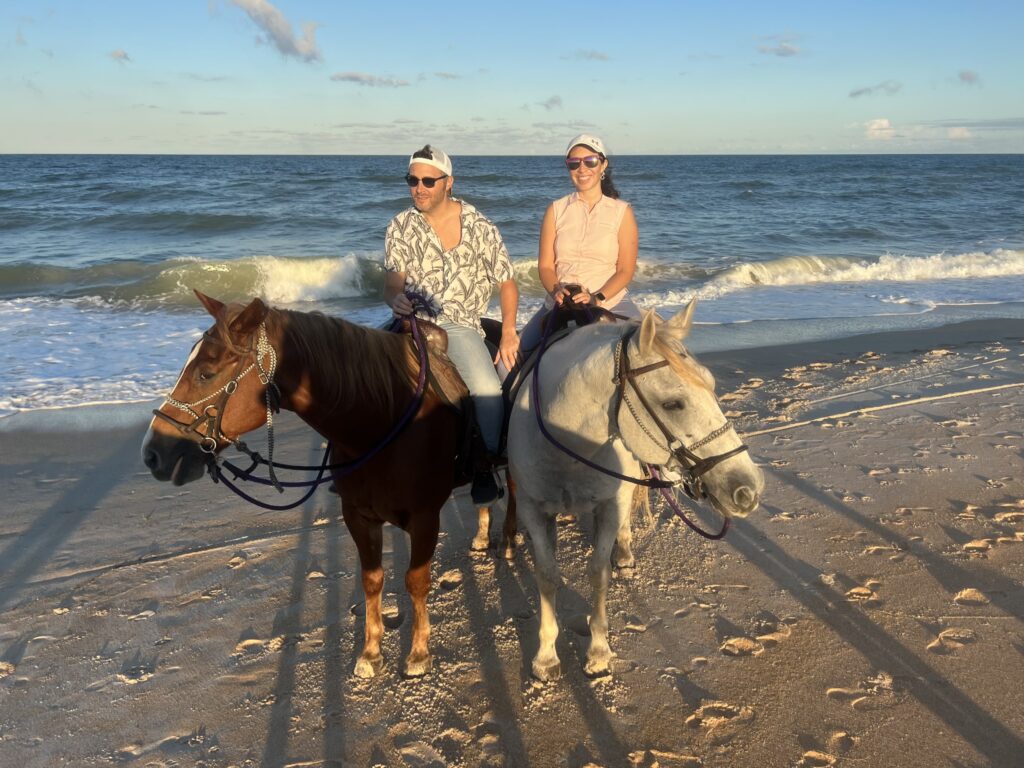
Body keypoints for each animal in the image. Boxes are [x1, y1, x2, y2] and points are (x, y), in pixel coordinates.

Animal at [142, 290, 509, 679]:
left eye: (206, 374)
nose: (152, 453)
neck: (381, 421)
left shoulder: (425, 518)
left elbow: (415, 580)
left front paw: (419, 653)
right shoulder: (359, 516)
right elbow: (372, 579)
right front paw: (370, 652)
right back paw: (482, 535)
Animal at [507, 303, 765, 679]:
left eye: (712, 384)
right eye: (673, 404)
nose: (748, 488)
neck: (566, 440)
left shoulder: (609, 504)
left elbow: (598, 573)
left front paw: (599, 652)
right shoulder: (532, 509)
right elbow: (547, 576)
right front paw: (545, 656)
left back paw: (625, 554)